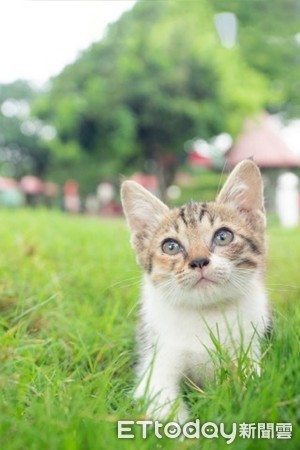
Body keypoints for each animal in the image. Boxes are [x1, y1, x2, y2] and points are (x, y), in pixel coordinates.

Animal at [120, 161, 270, 422]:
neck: (206, 314)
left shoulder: (250, 345)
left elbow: (254, 387)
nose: (198, 261)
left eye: (223, 236)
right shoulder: (156, 360)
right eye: (170, 246)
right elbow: (161, 401)